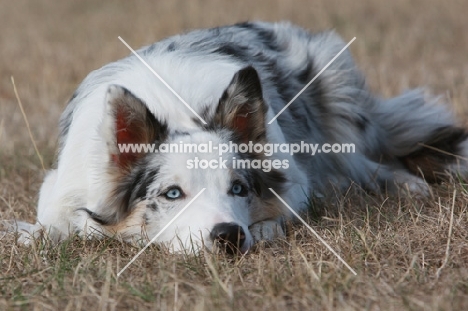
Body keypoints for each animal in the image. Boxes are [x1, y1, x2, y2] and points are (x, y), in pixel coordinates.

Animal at [7, 22, 468, 256]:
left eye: (239, 188)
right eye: (172, 193)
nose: (228, 235)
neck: (180, 111)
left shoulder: (292, 180)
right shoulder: (62, 191)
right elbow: (59, 226)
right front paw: (26, 235)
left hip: (339, 101)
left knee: (363, 161)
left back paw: (404, 184)